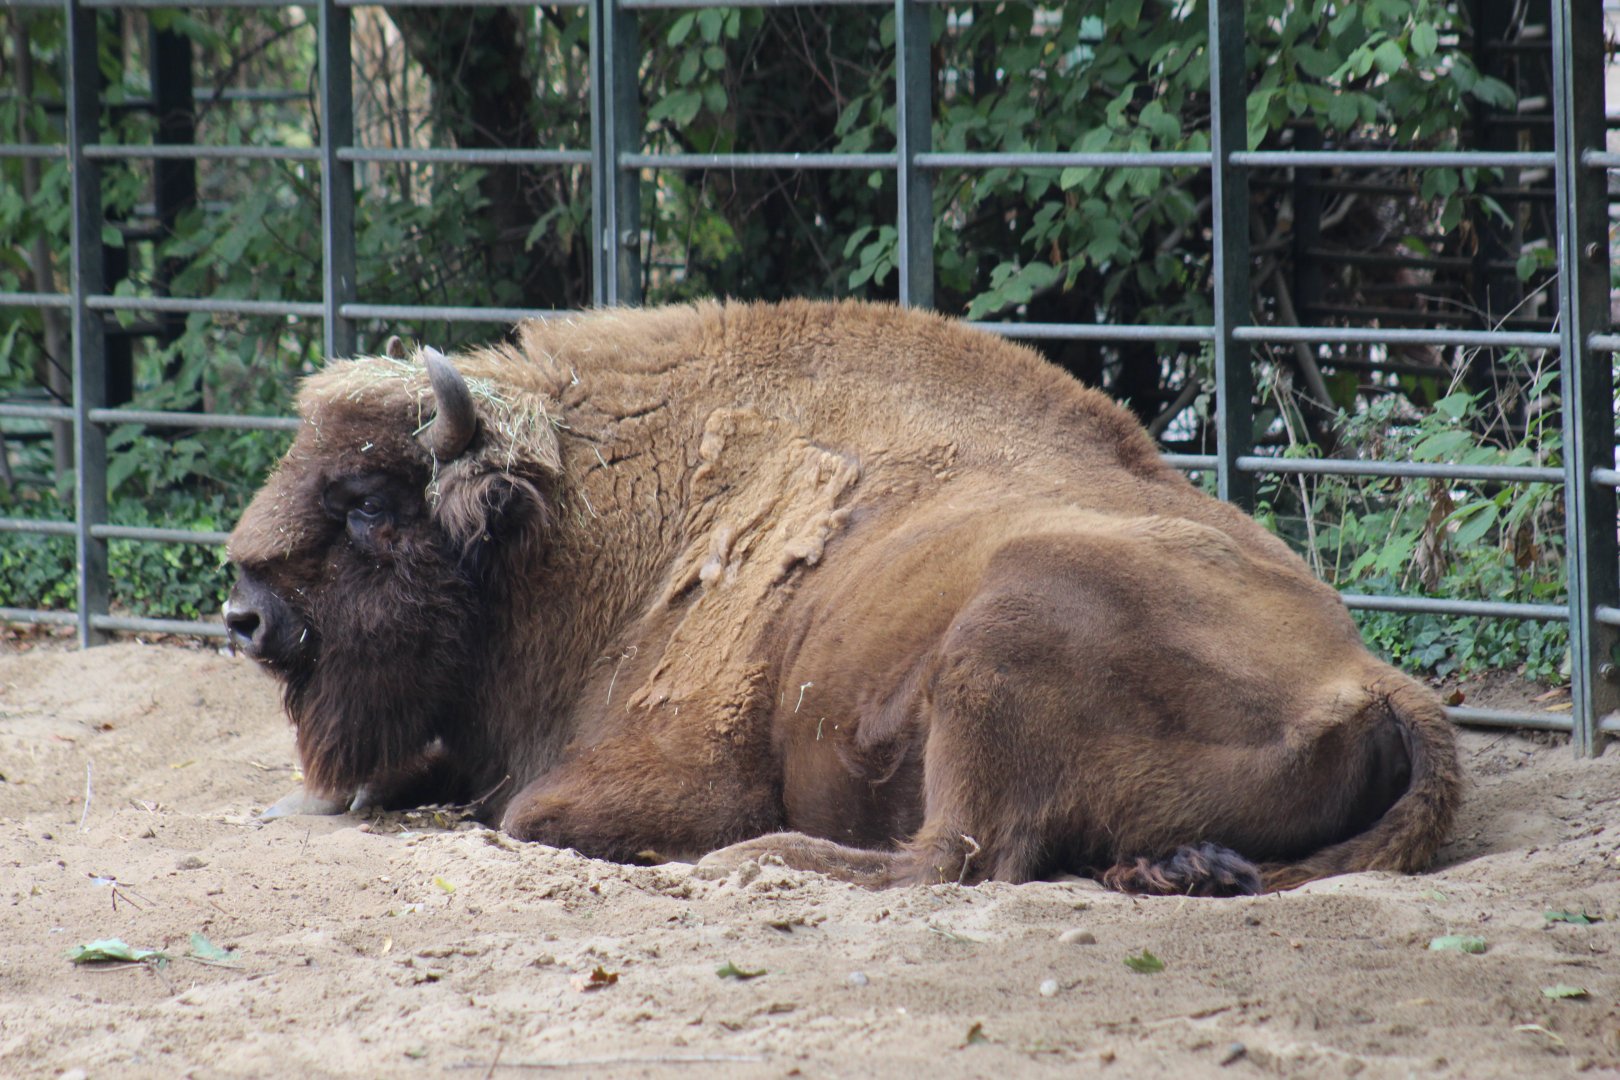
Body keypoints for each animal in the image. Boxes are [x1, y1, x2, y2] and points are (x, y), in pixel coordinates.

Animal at [225, 300, 1459, 894]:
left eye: (370, 503)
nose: (244, 615)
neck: (588, 529)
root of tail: (1380, 679)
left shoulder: (678, 773)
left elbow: (524, 815)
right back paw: (1179, 871)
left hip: (1007, 624)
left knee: (953, 858)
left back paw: (752, 864)